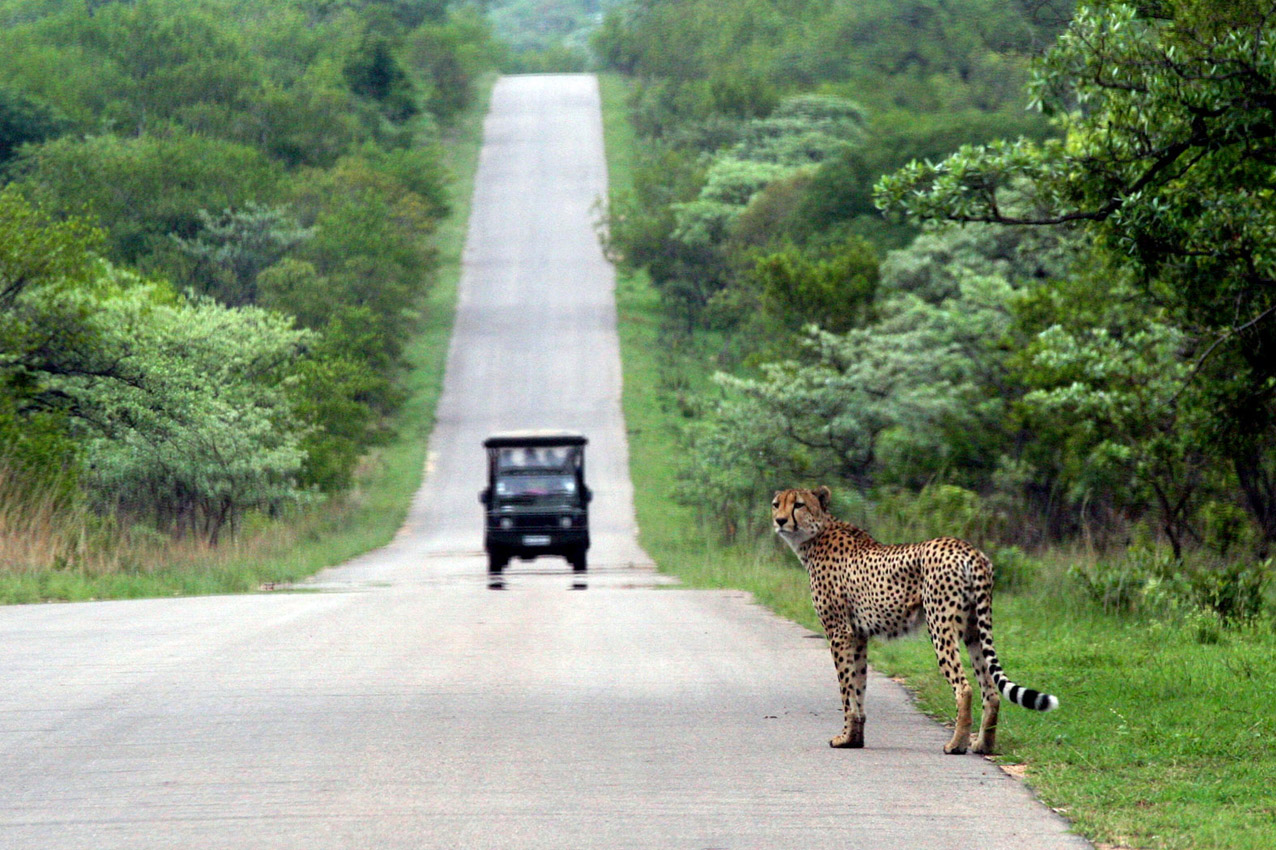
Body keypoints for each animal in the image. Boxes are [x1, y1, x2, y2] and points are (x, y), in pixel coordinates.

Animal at [770, 487, 1061, 750]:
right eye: (776, 504)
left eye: (798, 505)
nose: (780, 521)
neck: (815, 536)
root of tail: (967, 548)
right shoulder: (859, 635)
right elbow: (859, 686)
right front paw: (855, 738)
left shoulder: (839, 632)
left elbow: (846, 689)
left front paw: (844, 736)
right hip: (975, 629)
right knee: (990, 691)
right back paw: (982, 745)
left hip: (940, 626)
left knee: (964, 687)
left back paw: (956, 744)